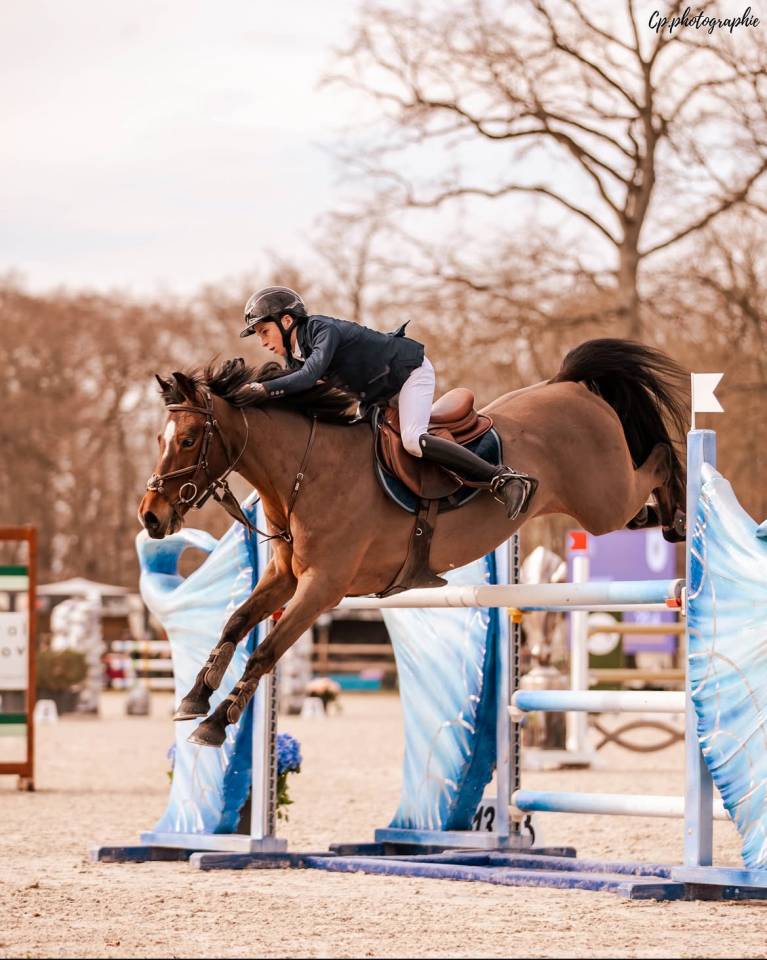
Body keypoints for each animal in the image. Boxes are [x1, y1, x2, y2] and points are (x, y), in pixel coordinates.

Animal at [139, 338, 687, 747]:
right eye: (160, 439)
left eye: (187, 440)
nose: (151, 517)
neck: (304, 471)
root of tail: (567, 385)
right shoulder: (284, 577)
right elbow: (234, 624)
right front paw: (193, 699)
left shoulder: (322, 588)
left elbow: (266, 651)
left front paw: (214, 724)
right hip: (607, 505)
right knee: (643, 499)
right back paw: (665, 517)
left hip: (602, 502)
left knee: (660, 456)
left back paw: (679, 514)